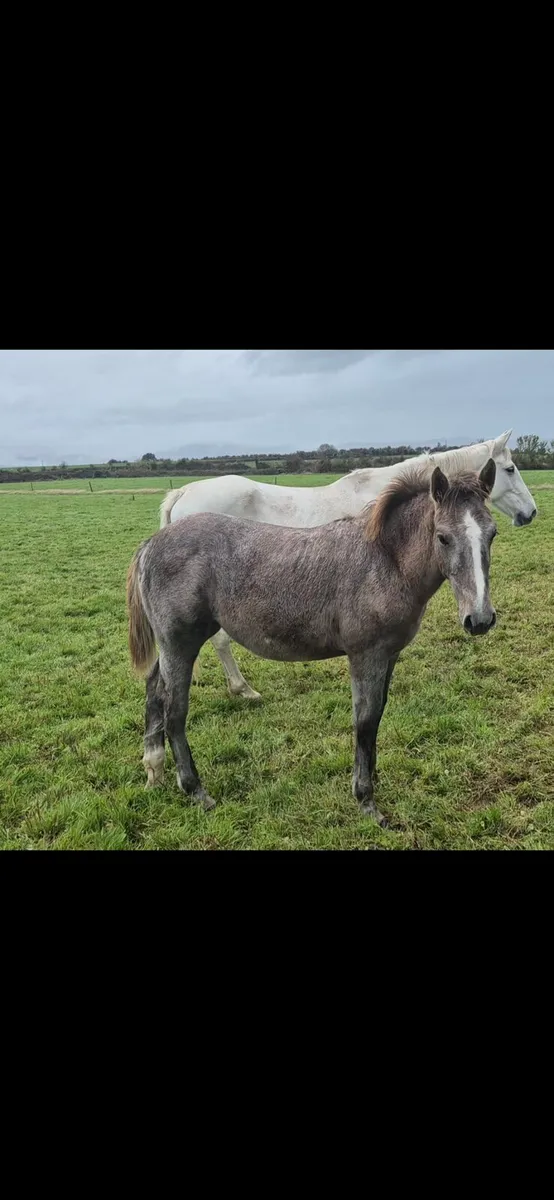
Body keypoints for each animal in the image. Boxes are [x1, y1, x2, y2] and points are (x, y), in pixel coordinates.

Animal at [128, 460, 498, 826]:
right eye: (443, 537)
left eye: (492, 533)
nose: (480, 619)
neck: (385, 560)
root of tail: (151, 544)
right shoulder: (366, 655)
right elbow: (365, 720)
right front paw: (366, 800)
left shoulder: (389, 655)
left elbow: (378, 714)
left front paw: (373, 780)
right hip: (180, 644)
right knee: (174, 712)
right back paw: (195, 790)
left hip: (171, 645)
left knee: (153, 689)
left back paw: (154, 770)